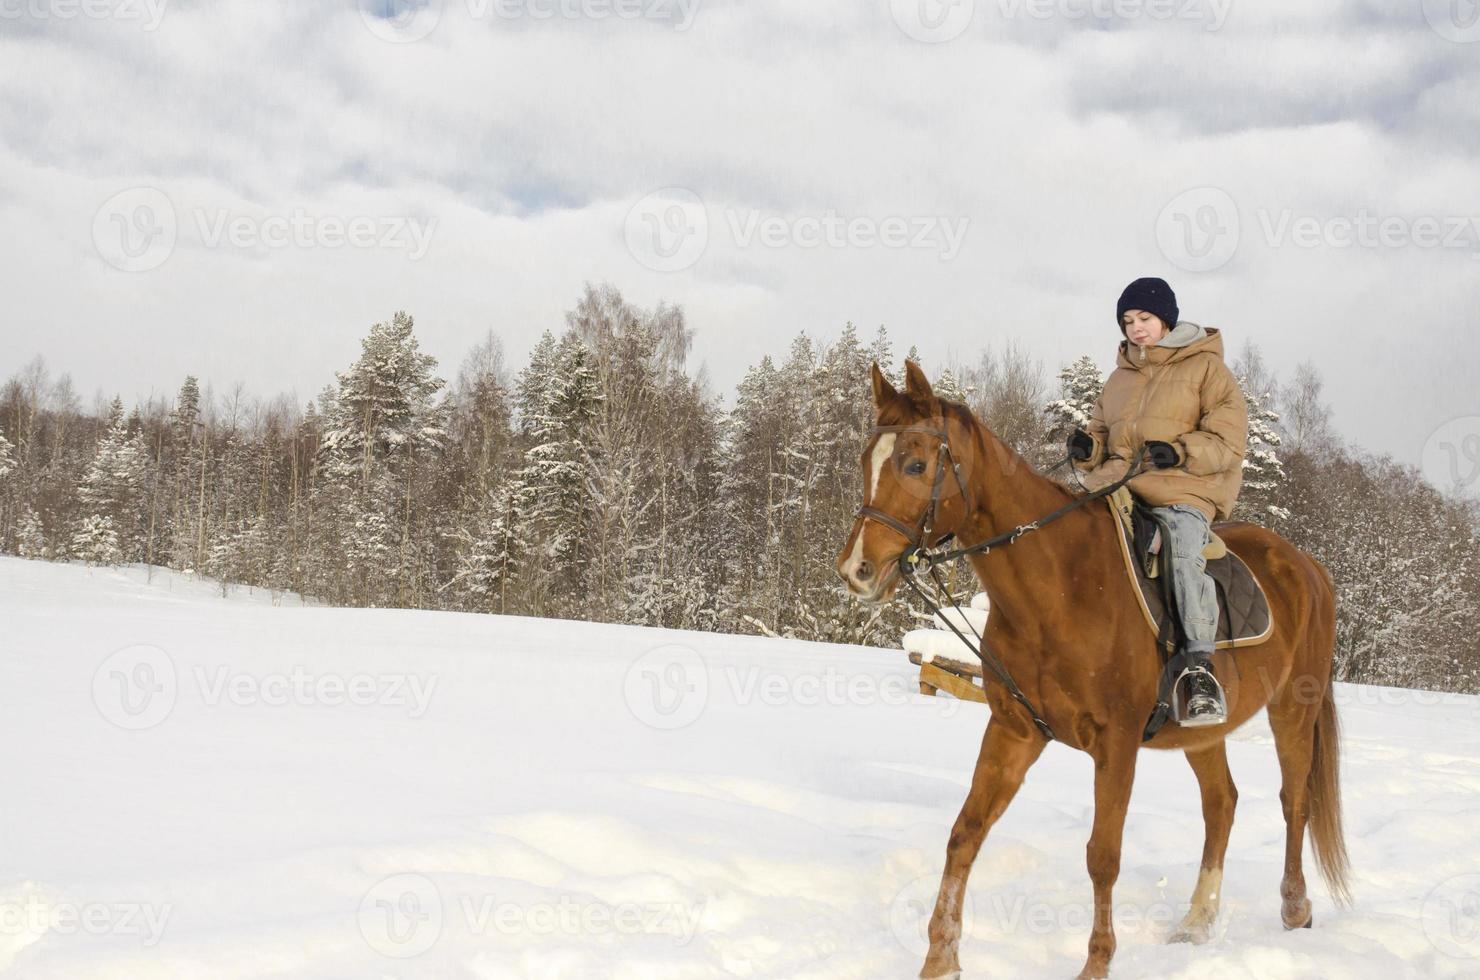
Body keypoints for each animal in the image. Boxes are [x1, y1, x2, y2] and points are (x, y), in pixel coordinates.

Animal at [840, 361, 1349, 980]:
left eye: (915, 464)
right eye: (866, 461)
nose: (857, 569)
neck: (1060, 588)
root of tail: (1308, 568)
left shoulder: (1117, 743)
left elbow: (1102, 857)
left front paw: (1097, 964)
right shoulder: (1014, 732)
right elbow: (965, 834)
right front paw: (939, 958)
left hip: (1294, 709)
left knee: (1293, 801)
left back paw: (1295, 907)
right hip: (1204, 731)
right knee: (1221, 804)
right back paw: (1197, 921)